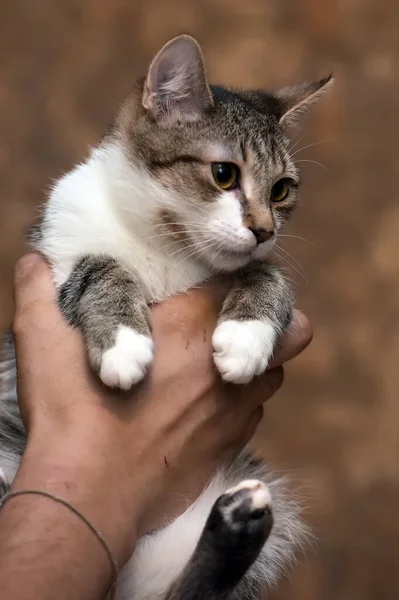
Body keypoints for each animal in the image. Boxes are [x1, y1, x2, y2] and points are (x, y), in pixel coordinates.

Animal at [0, 37, 332, 600]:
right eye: (224, 174)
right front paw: (124, 345)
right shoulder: (60, 252)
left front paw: (246, 338)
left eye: (282, 189)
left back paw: (238, 523)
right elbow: (100, 268)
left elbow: (269, 275)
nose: (264, 230)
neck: (169, 248)